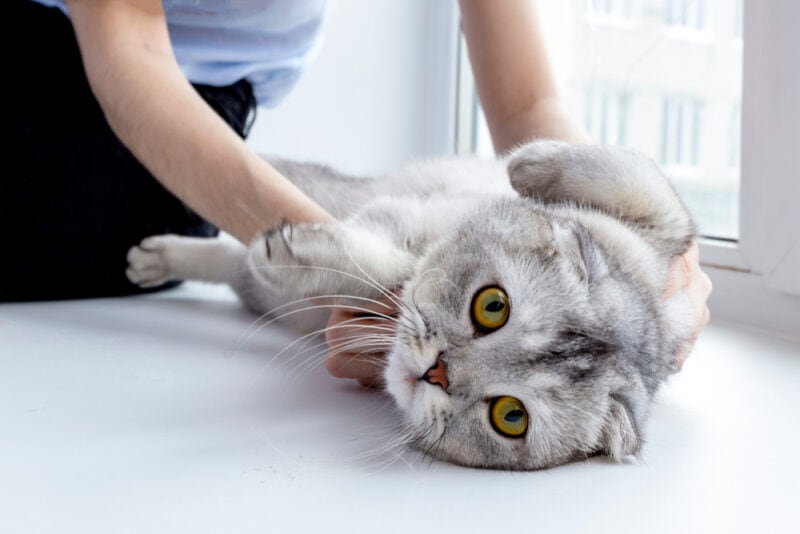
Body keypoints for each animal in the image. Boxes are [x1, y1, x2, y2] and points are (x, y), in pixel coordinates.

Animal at [125, 140, 692, 472]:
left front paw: (292, 255)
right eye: (493, 306)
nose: (437, 372)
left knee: (236, 263)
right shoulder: (655, 237)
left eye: (511, 416)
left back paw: (158, 259)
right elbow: (654, 191)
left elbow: (387, 274)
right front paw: (527, 161)